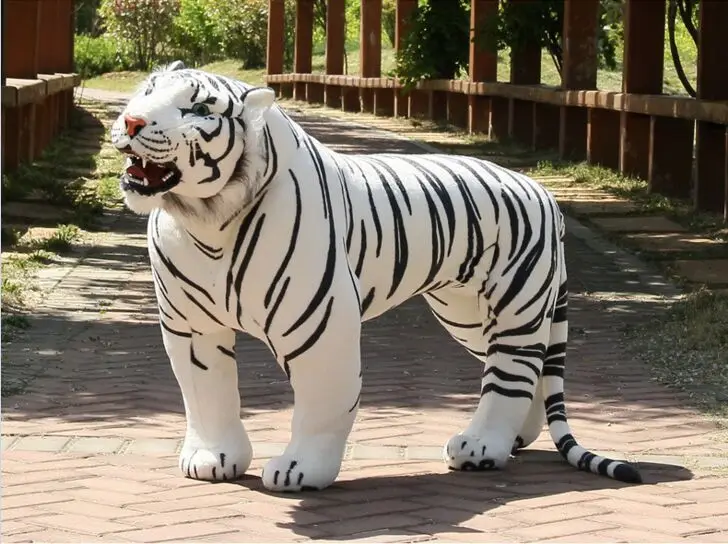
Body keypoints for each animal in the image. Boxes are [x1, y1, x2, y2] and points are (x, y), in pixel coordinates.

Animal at [110, 62, 642, 493]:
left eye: (197, 108)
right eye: (146, 91)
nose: (132, 120)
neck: (207, 219)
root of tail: (544, 192)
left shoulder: (318, 324)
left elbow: (323, 400)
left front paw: (301, 470)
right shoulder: (192, 325)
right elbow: (207, 392)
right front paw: (211, 459)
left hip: (517, 305)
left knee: (513, 371)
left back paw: (482, 448)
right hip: (468, 316)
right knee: (527, 369)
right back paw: (514, 438)